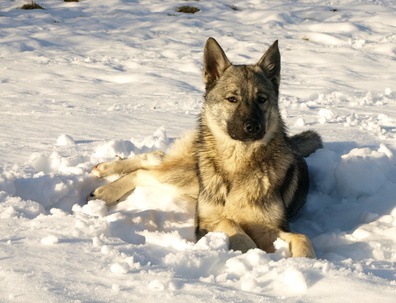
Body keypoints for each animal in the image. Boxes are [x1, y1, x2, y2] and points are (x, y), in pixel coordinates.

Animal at [89, 36, 322, 258]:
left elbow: (301, 238)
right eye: (232, 99)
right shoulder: (204, 223)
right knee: (145, 171)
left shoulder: (269, 227)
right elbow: (230, 223)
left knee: (153, 158)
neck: (238, 163)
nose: (254, 127)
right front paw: (248, 251)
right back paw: (105, 188)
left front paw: (302, 264)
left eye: (262, 99)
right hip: (188, 177)